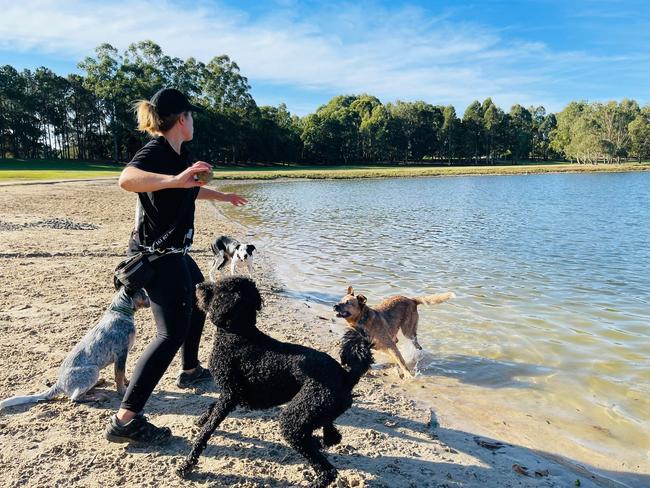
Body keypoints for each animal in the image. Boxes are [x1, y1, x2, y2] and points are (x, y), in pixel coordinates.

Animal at [0, 284, 148, 410]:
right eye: (143, 293)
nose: (150, 300)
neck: (120, 311)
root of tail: (59, 384)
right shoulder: (121, 352)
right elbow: (119, 374)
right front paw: (122, 390)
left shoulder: (122, 355)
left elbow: (122, 373)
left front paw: (128, 382)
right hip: (93, 370)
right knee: (75, 398)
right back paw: (99, 397)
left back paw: (98, 384)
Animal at [175, 276, 372, 486]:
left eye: (218, 288)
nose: (198, 285)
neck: (238, 334)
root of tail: (346, 376)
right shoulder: (229, 394)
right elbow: (211, 407)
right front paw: (202, 418)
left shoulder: (229, 396)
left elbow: (206, 433)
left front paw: (186, 465)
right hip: (318, 413)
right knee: (332, 437)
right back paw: (319, 441)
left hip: (297, 417)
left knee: (328, 470)